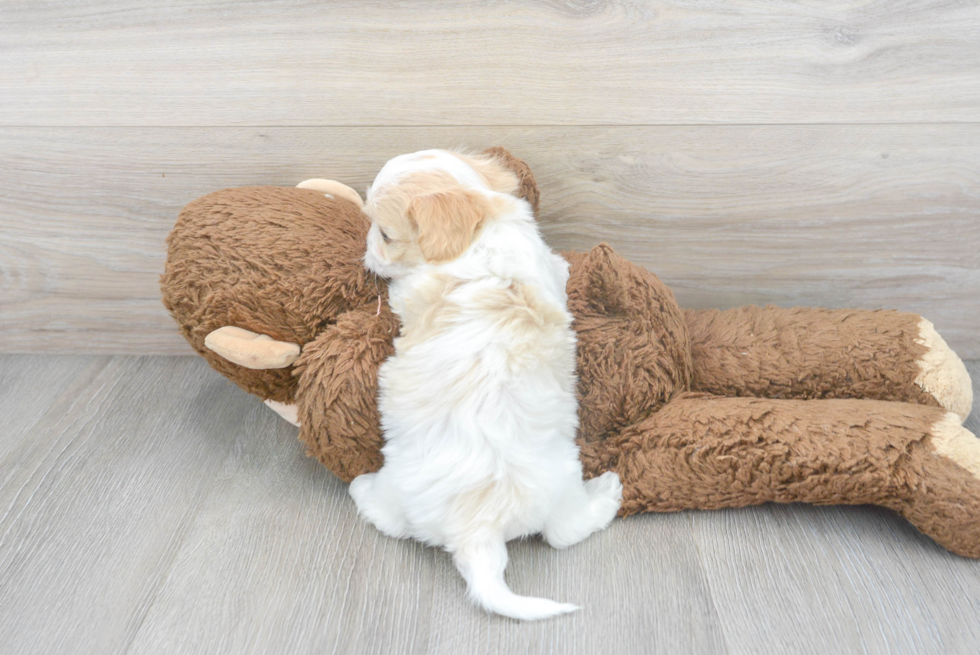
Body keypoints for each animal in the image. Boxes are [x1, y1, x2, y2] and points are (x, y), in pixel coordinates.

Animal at [352, 149, 620, 620]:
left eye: (384, 234)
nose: (366, 252)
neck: (479, 231)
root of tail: (478, 529)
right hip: (560, 481)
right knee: (563, 532)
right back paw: (606, 495)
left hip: (403, 489)